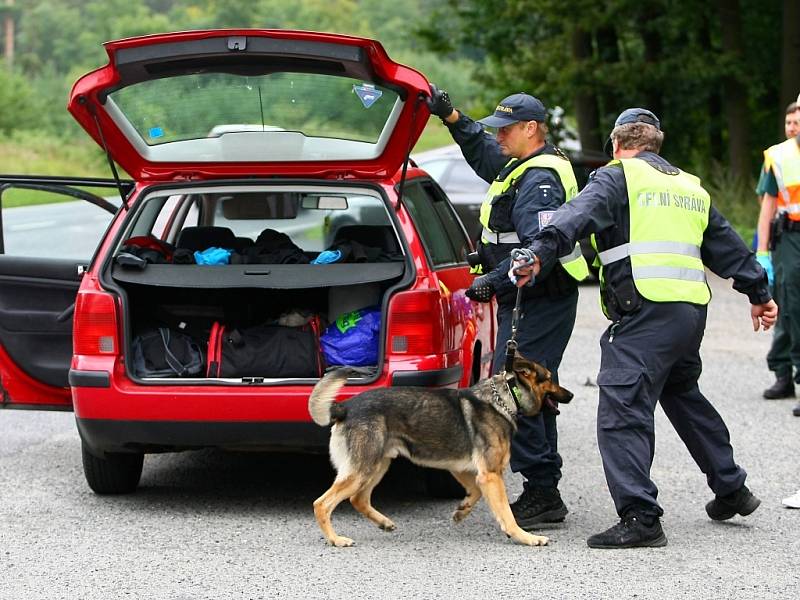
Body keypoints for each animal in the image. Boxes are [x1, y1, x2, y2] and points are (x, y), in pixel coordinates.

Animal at [308, 354, 576, 548]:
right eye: (549, 378)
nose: (572, 394)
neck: (506, 396)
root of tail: (343, 408)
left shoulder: (465, 471)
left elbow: (475, 492)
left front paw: (462, 510)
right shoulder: (490, 475)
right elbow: (506, 514)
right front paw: (524, 537)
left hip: (378, 465)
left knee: (358, 499)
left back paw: (384, 523)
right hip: (362, 470)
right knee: (322, 504)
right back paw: (336, 539)